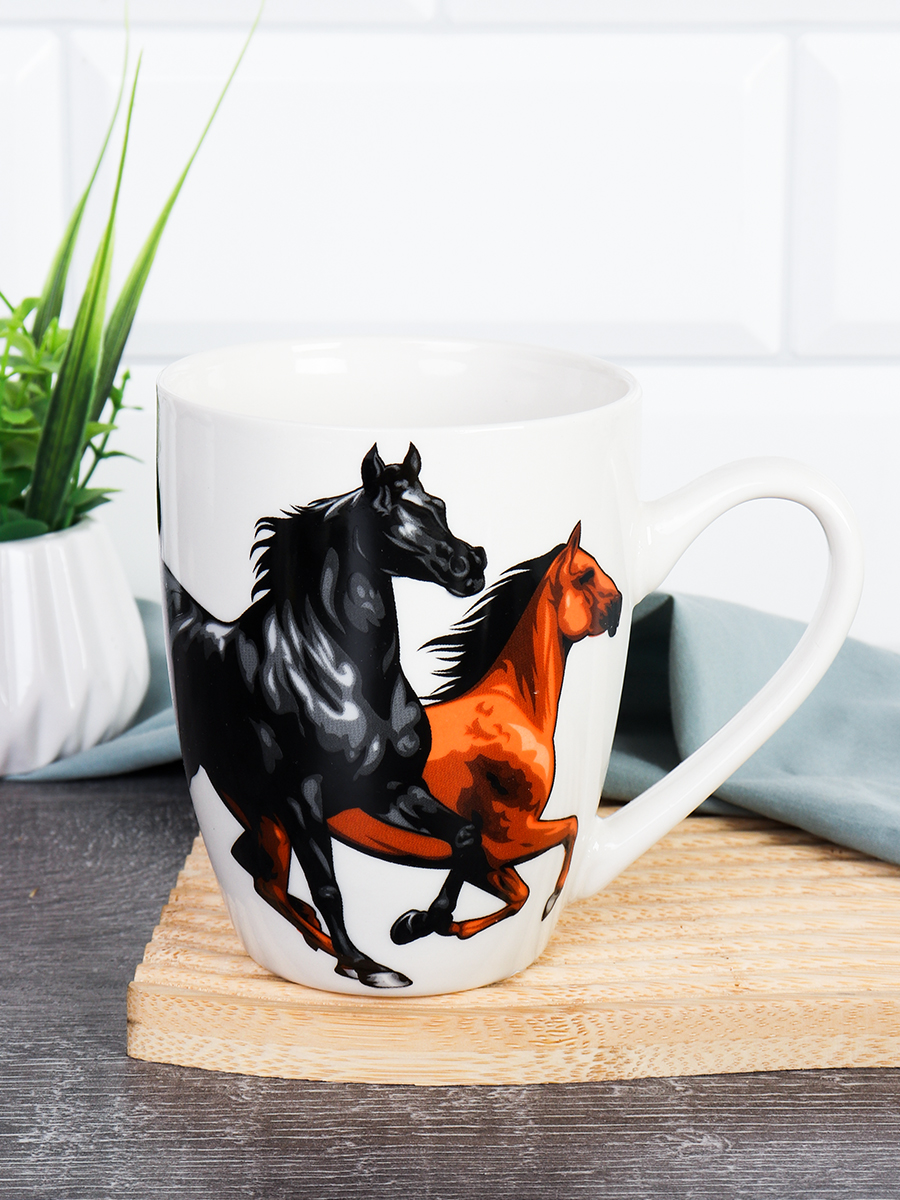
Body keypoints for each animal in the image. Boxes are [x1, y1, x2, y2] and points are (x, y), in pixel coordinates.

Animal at [164, 443, 488, 990]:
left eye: (439, 505)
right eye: (388, 514)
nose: (470, 565)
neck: (344, 673)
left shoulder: (392, 791)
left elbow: (465, 836)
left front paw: (420, 923)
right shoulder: (302, 799)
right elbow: (329, 886)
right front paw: (368, 966)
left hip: (254, 806)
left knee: (256, 868)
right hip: (252, 800)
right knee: (261, 873)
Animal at [389, 523, 622, 946]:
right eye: (585, 575)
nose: (620, 604)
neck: (515, 707)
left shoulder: (487, 854)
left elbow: (517, 892)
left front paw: (421, 922)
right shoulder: (509, 837)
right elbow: (571, 830)